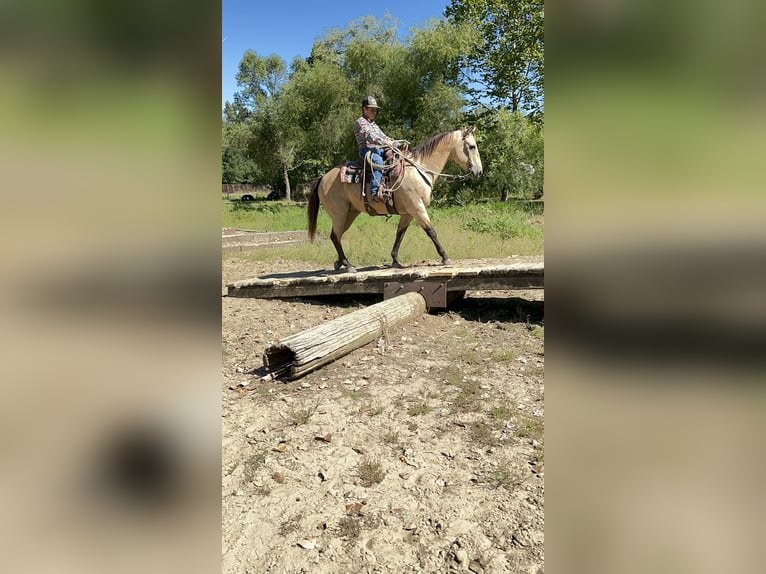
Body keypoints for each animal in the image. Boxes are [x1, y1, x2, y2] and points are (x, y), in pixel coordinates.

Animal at [308, 126, 484, 274]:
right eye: (472, 146)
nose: (479, 172)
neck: (419, 169)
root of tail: (323, 177)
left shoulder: (408, 213)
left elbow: (400, 234)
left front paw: (395, 260)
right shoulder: (417, 208)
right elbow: (431, 231)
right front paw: (445, 257)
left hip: (350, 213)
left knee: (336, 236)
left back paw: (340, 263)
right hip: (340, 214)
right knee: (335, 236)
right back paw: (349, 265)